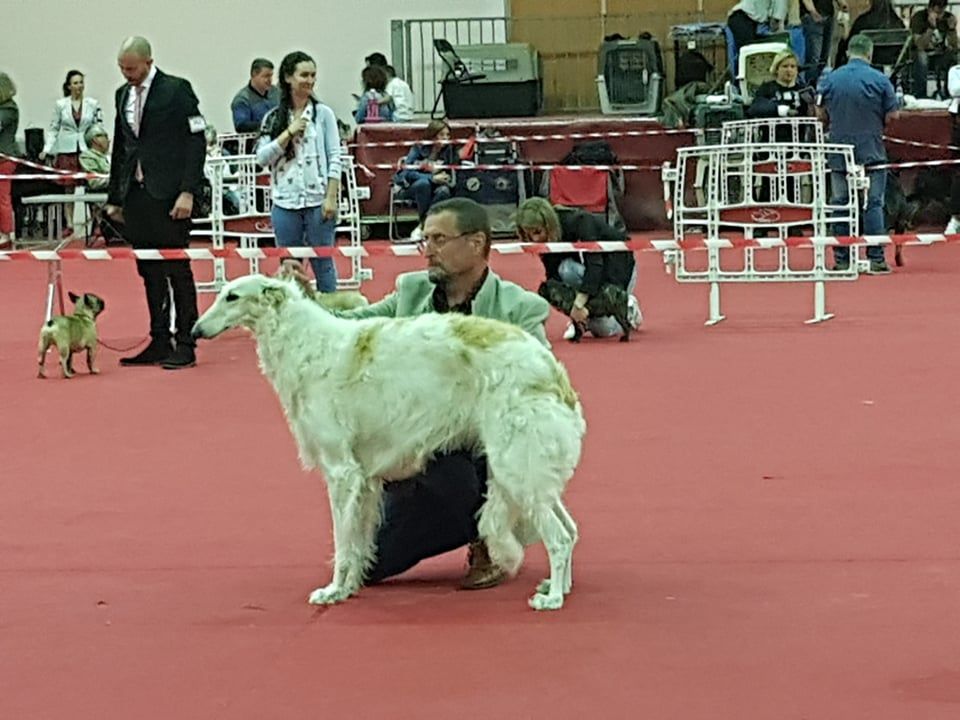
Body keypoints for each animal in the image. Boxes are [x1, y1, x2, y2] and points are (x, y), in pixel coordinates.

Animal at [193, 274, 584, 608]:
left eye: (232, 296)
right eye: (220, 292)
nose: (196, 330)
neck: (304, 344)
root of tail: (553, 372)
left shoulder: (341, 472)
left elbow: (342, 542)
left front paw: (331, 591)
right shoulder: (364, 482)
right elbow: (358, 543)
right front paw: (348, 587)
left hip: (516, 465)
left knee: (559, 537)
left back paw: (552, 600)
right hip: (530, 469)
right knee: (571, 528)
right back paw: (558, 586)